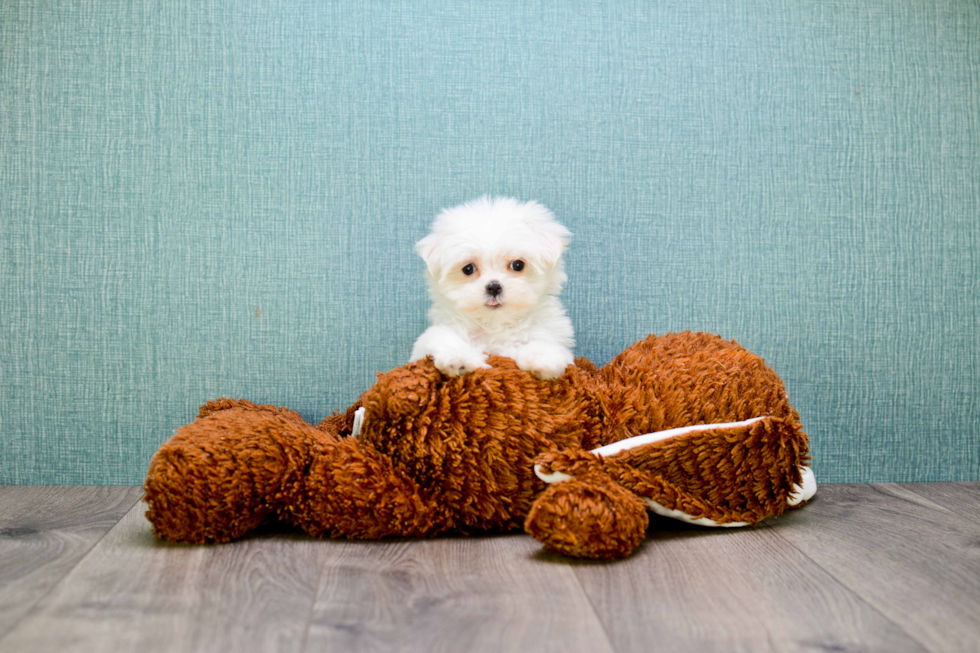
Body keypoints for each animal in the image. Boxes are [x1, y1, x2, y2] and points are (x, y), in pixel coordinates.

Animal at [408, 196, 576, 380]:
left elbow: (544, 343)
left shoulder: (550, 333)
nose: (494, 287)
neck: (495, 323)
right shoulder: (438, 334)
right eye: (468, 269)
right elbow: (441, 337)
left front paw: (543, 359)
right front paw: (458, 358)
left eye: (518, 265)